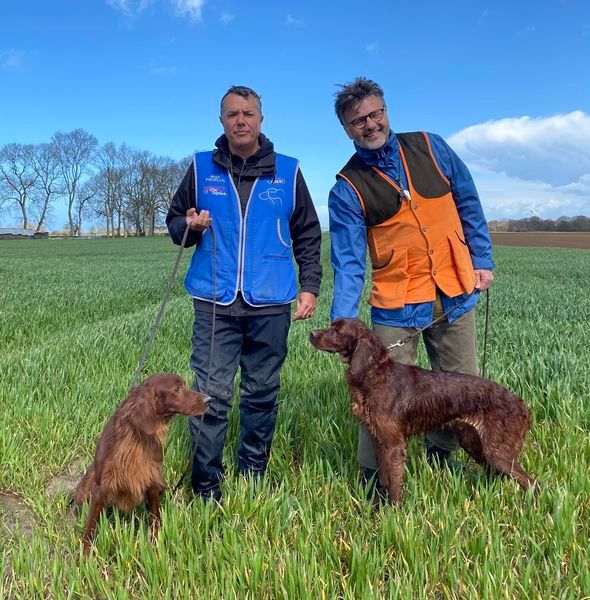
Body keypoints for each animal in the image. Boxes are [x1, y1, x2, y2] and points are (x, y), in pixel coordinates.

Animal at [72, 372, 212, 556]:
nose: (209, 400)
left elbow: (154, 517)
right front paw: (85, 555)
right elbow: (91, 526)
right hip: (84, 489)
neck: (136, 437)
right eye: (177, 389)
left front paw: (155, 544)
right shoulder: (100, 487)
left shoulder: (152, 481)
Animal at [312, 316, 540, 504]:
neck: (374, 374)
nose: (311, 334)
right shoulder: (379, 439)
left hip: (497, 453)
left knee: (532, 482)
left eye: (337, 330)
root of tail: (521, 404)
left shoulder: (395, 445)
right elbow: (384, 478)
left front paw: (394, 514)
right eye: (332, 325)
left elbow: (395, 484)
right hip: (474, 443)